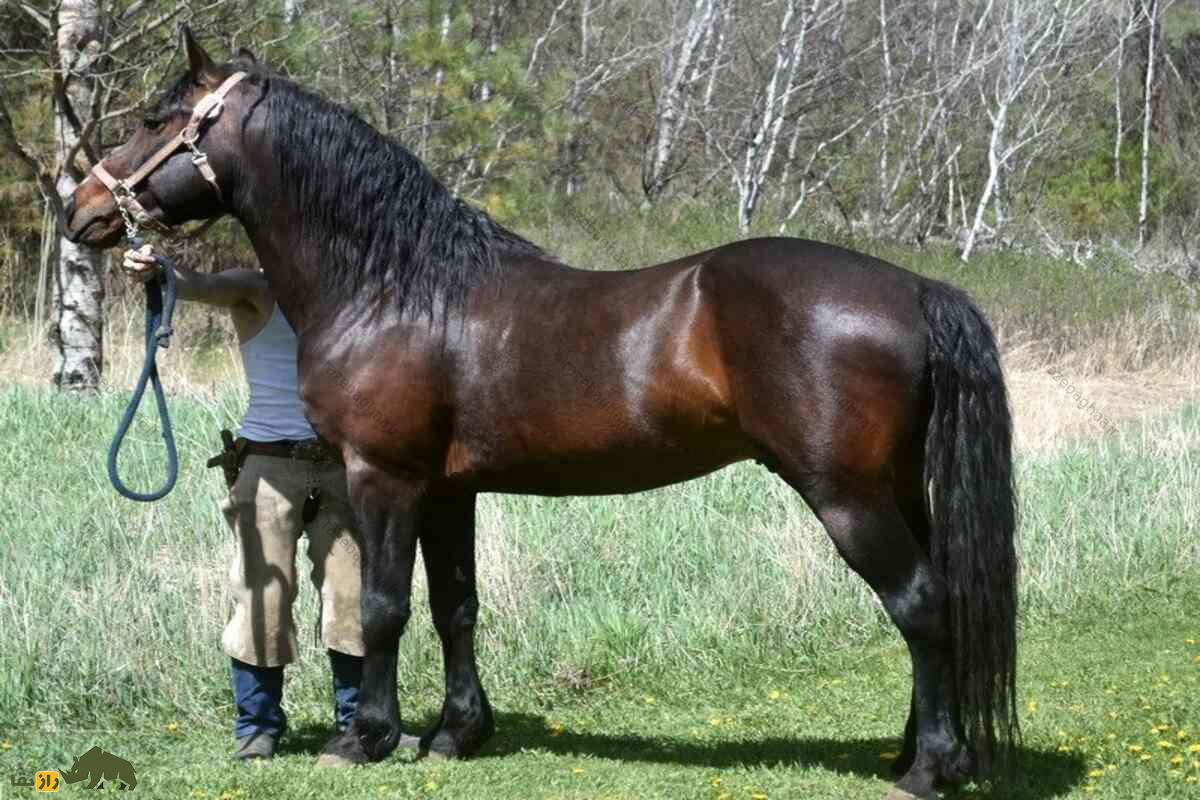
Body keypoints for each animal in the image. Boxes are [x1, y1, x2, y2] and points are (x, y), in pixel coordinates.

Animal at [65, 31, 1017, 800]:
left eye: (156, 118)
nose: (82, 210)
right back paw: (918, 753)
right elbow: (454, 606)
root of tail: (914, 288)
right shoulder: (449, 491)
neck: (393, 286)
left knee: (920, 603)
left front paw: (366, 739)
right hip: (898, 489)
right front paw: (455, 735)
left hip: (846, 495)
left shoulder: (385, 478)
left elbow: (382, 606)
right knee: (939, 600)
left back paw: (928, 769)